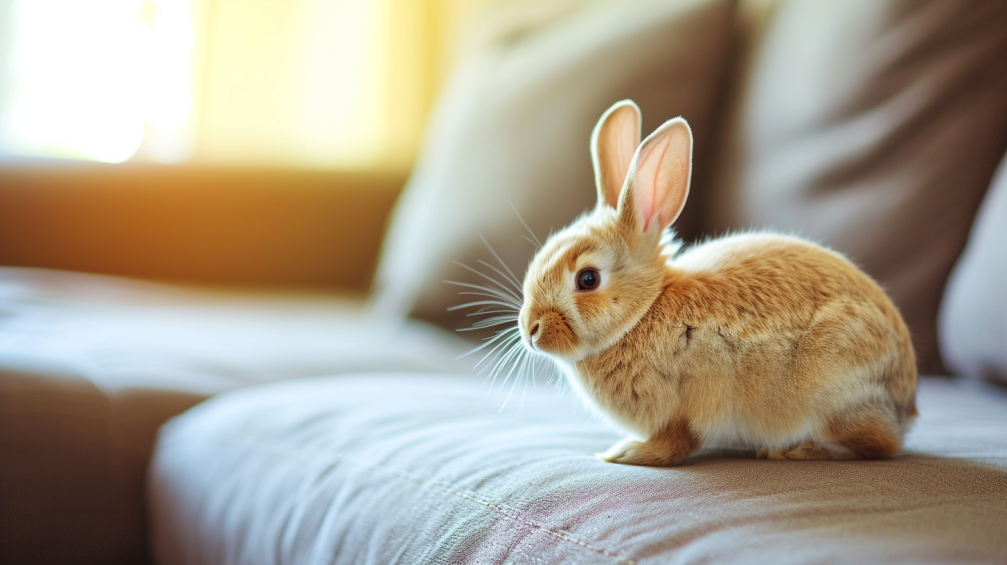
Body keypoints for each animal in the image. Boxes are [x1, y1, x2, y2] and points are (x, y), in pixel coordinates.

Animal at [517, 100, 918, 466]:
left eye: (588, 279)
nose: (531, 330)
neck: (643, 311)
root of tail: (905, 401)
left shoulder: (689, 402)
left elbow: (676, 443)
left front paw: (627, 453)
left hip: (830, 391)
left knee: (879, 446)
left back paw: (796, 450)